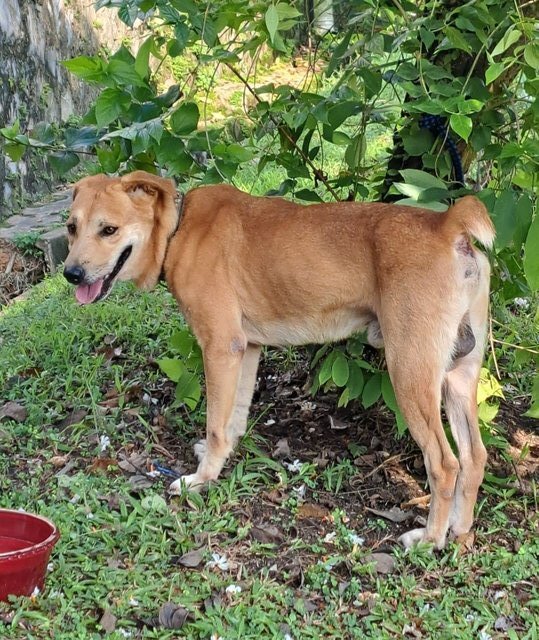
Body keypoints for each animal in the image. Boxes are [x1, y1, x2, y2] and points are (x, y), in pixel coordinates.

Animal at [62, 171, 494, 552]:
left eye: (108, 230)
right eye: (71, 227)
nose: (71, 274)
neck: (178, 228)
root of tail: (446, 224)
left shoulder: (220, 347)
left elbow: (215, 424)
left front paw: (201, 478)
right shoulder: (247, 348)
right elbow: (232, 419)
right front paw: (222, 458)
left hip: (409, 372)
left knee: (445, 464)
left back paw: (430, 539)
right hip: (459, 375)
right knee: (474, 458)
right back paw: (459, 529)